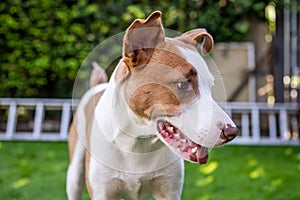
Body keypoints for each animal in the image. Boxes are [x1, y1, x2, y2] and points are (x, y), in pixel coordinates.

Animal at [67, 10, 238, 200]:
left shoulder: (169, 192)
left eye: (211, 85)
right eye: (182, 85)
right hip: (74, 176)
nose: (232, 132)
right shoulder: (102, 192)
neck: (138, 141)